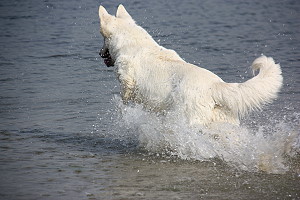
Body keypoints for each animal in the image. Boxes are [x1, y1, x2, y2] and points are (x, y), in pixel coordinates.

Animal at [99, 4, 284, 126]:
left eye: (103, 38)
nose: (99, 53)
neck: (133, 42)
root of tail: (215, 85)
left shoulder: (127, 80)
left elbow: (125, 97)